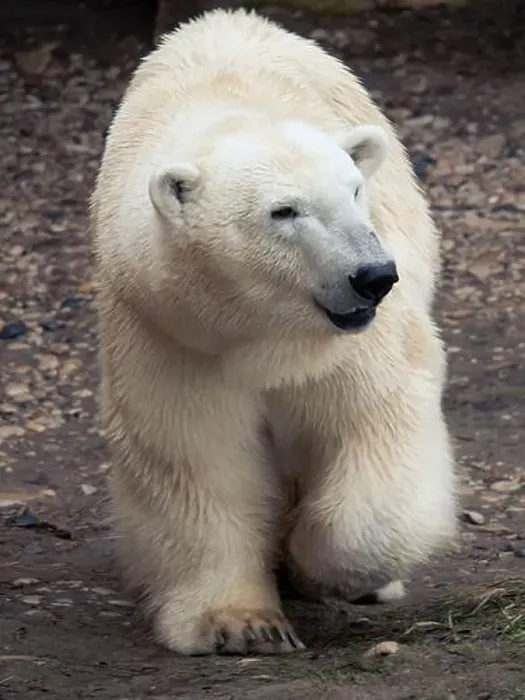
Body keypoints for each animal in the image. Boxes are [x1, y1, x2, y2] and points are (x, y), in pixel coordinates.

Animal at [90, 7, 457, 656]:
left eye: (354, 189)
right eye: (283, 211)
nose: (372, 276)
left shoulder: (351, 346)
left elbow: (374, 421)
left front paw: (319, 567)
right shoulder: (170, 333)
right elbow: (196, 454)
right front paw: (241, 624)